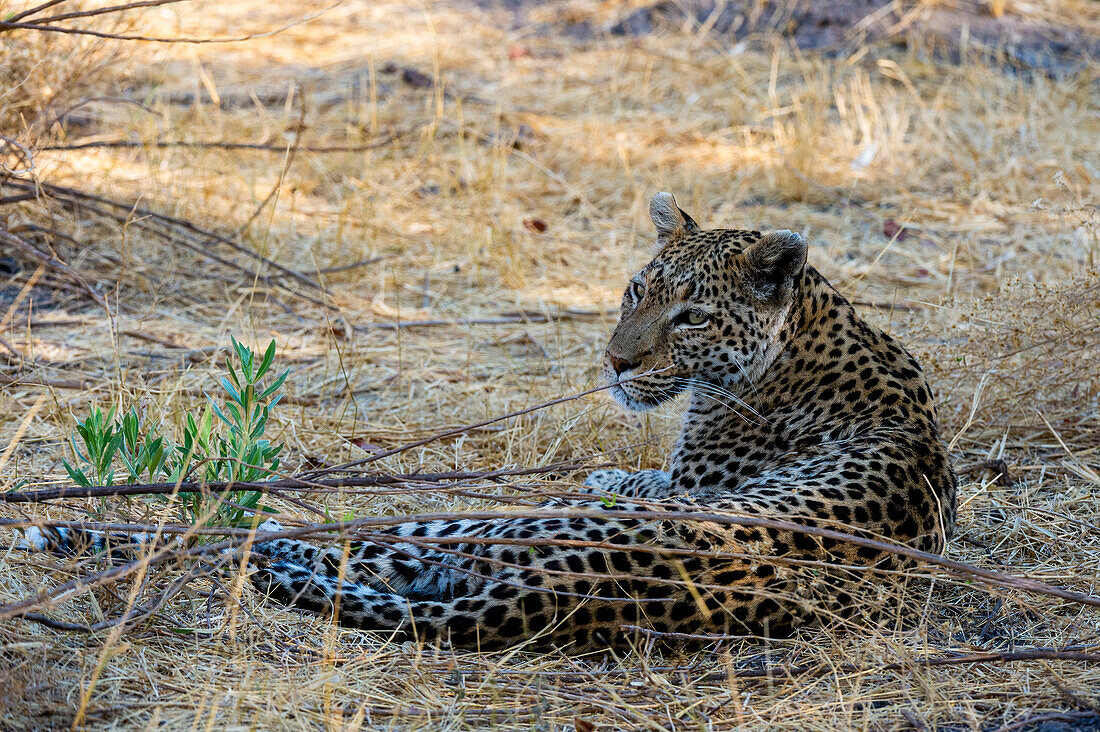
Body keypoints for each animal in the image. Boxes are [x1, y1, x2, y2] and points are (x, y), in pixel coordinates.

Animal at [19, 191, 954, 647]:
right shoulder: (676, 476)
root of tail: (569, 597)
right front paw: (613, 462)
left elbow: (641, 476)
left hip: (505, 523)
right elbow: (632, 471)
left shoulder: (689, 482)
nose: (616, 363)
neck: (815, 326)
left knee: (334, 536)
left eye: (692, 317)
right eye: (637, 290)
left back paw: (119, 533)